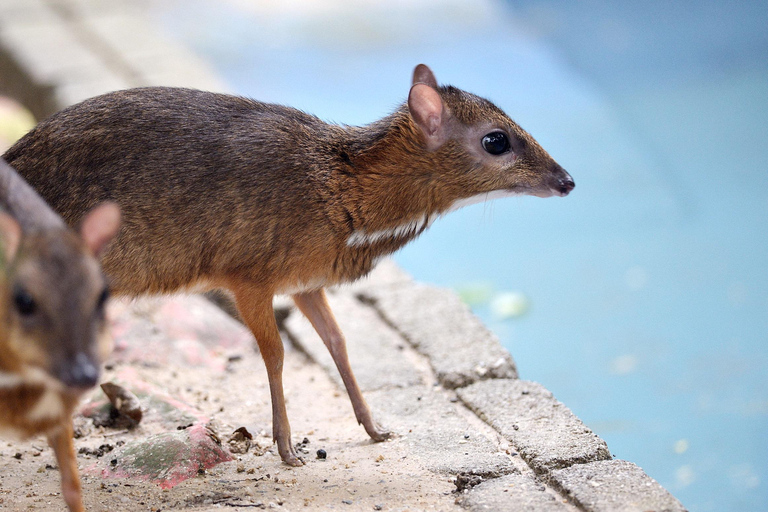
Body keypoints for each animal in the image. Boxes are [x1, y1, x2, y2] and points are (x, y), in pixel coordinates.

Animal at [3, 63, 572, 464]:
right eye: (496, 140)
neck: (343, 193)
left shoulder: (306, 282)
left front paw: (375, 428)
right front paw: (287, 448)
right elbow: (275, 354)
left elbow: (337, 343)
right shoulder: (249, 277)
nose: (566, 180)